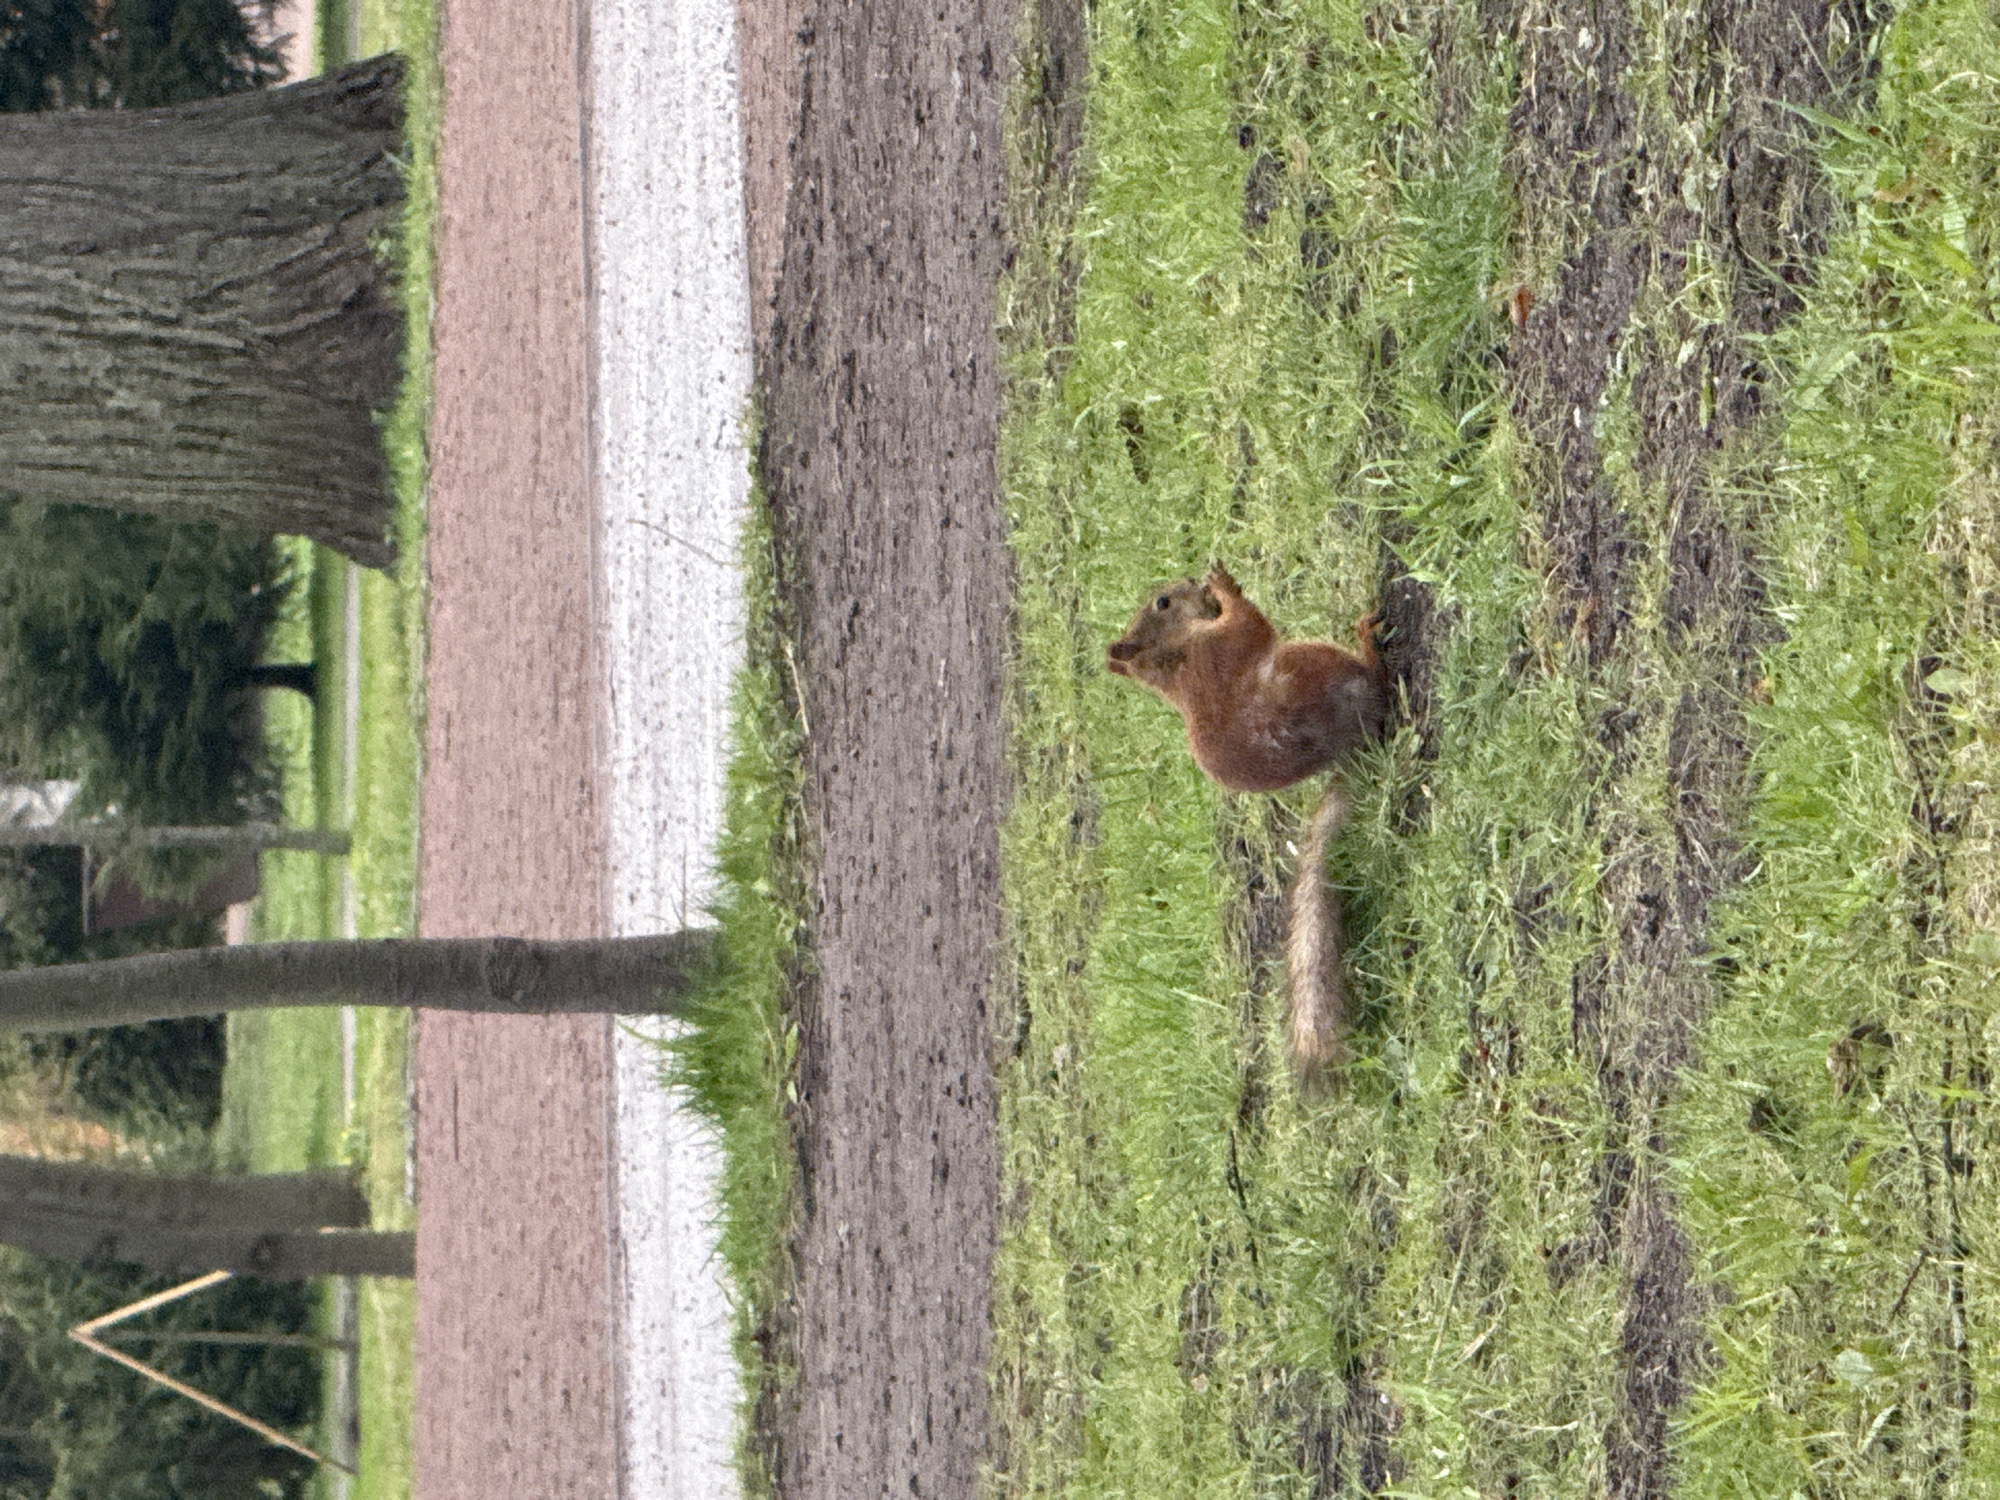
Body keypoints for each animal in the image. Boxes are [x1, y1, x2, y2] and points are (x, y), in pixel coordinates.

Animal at [1105, 564, 1386, 1078]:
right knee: (1374, 679)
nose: (1190, 581)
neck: (1175, 659)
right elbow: (1247, 626)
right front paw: (1225, 586)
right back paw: (1369, 646)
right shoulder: (1217, 651)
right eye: (1163, 603)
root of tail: (1352, 751)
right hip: (1312, 662)